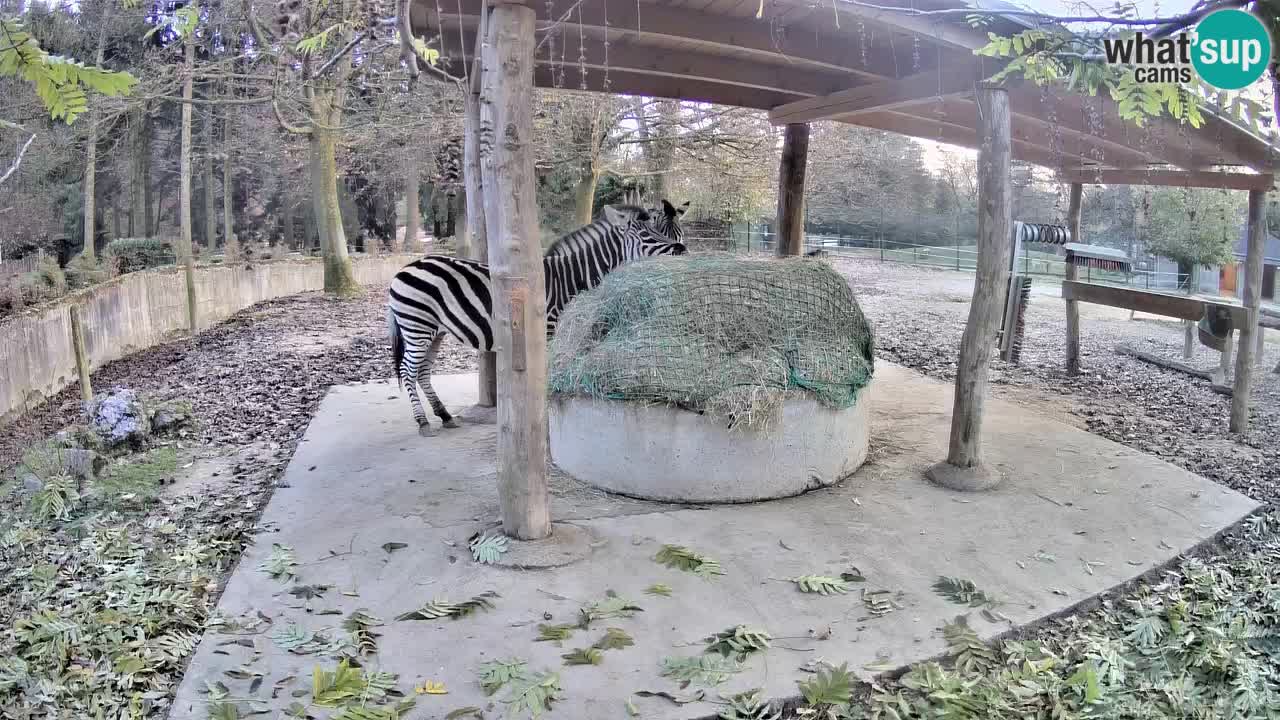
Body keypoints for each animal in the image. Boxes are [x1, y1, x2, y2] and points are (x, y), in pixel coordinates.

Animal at [386, 204, 691, 435]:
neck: (570, 277)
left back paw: (444, 415)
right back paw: (423, 422)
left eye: (672, 231)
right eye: (648, 235)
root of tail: (404, 268)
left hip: (435, 331)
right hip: (417, 326)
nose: (682, 251)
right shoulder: (549, 329)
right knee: (408, 371)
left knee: (422, 371)